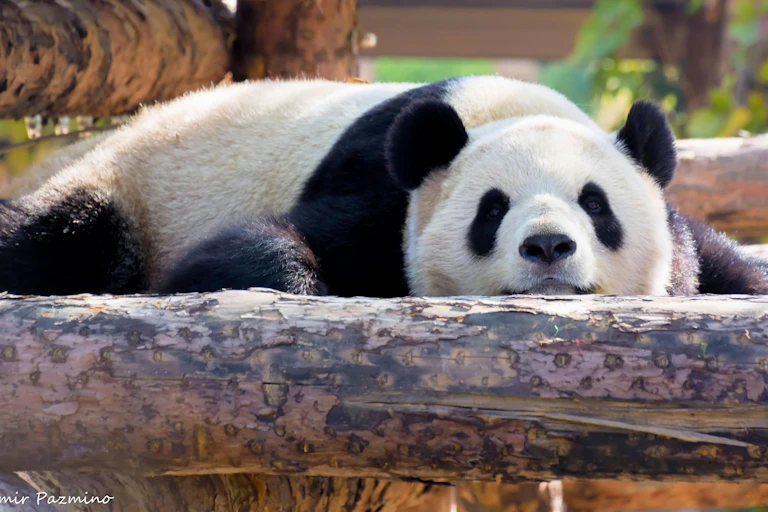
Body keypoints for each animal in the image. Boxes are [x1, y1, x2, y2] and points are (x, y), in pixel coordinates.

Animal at [0, 75, 766, 298]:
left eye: (595, 204)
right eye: (492, 210)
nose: (548, 248)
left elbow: (716, 264)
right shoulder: (381, 193)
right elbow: (240, 253)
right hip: (123, 188)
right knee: (62, 237)